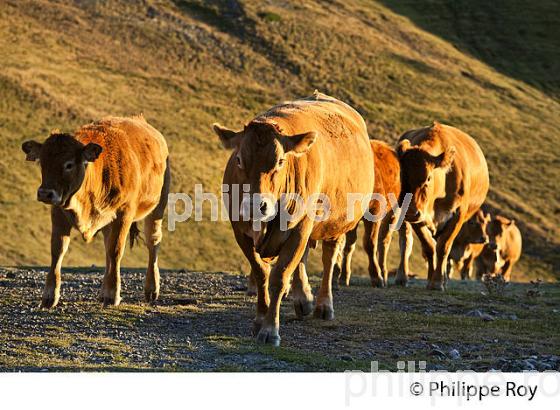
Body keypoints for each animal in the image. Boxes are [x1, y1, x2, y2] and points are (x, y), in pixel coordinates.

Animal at [21, 115, 170, 308]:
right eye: (42, 163)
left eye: (69, 164)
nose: (45, 193)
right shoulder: (58, 212)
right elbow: (58, 250)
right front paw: (49, 296)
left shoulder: (124, 214)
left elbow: (116, 251)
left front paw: (112, 295)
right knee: (108, 248)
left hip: (157, 206)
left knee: (153, 242)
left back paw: (151, 289)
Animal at [212, 91, 374, 344]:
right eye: (238, 159)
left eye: (280, 161)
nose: (256, 205)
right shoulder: (240, 231)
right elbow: (261, 273)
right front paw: (260, 320)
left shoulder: (299, 228)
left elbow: (279, 276)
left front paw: (270, 329)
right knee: (303, 259)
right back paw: (303, 299)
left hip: (335, 224)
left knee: (328, 260)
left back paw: (323, 305)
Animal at [332, 139, 406, 286]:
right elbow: (349, 245)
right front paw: (343, 277)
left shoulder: (374, 212)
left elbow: (369, 243)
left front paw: (376, 277)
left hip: (393, 212)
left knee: (384, 241)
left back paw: (383, 273)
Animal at [396, 121, 488, 292]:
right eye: (401, 176)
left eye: (428, 178)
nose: (410, 212)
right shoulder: (418, 216)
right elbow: (429, 247)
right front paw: (432, 280)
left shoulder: (458, 215)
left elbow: (443, 247)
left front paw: (438, 282)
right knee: (406, 242)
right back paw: (402, 277)